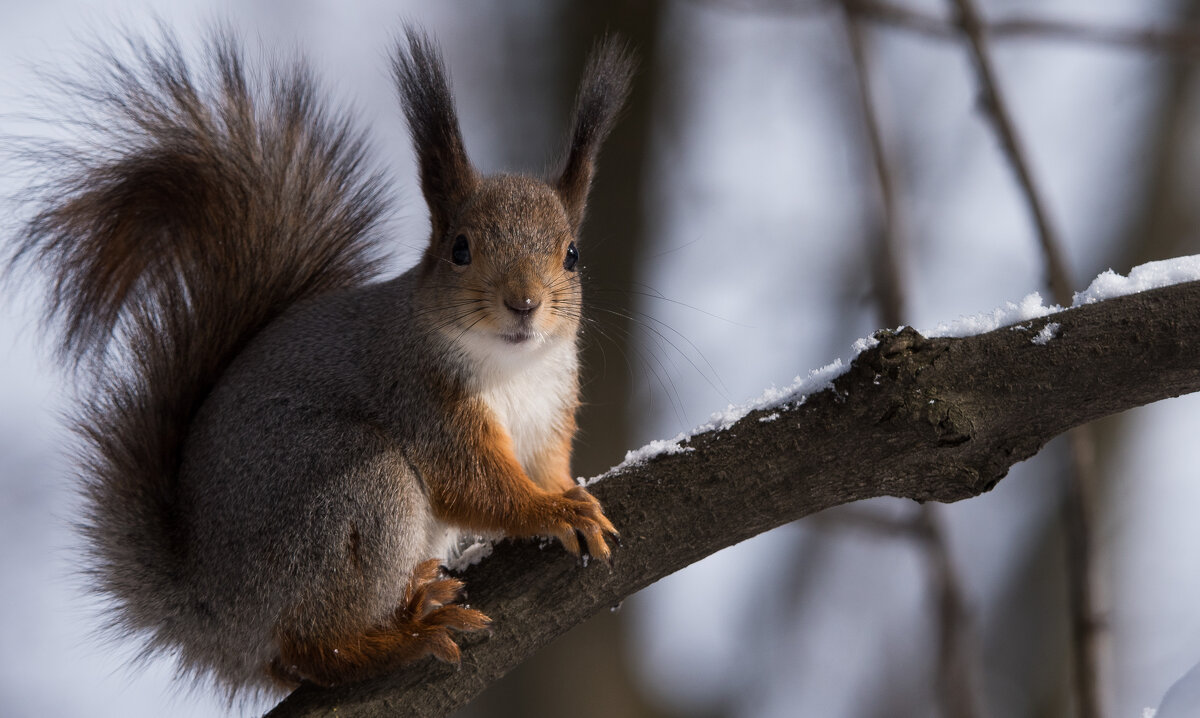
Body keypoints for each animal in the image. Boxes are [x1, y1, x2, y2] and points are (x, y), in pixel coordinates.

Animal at [11, 26, 638, 696]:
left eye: (571, 254)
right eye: (459, 249)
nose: (523, 304)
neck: (511, 367)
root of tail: (216, 615)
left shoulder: (548, 413)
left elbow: (545, 466)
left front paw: (571, 494)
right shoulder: (420, 395)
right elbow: (476, 486)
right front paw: (551, 510)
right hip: (348, 496)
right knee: (316, 648)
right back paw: (403, 638)